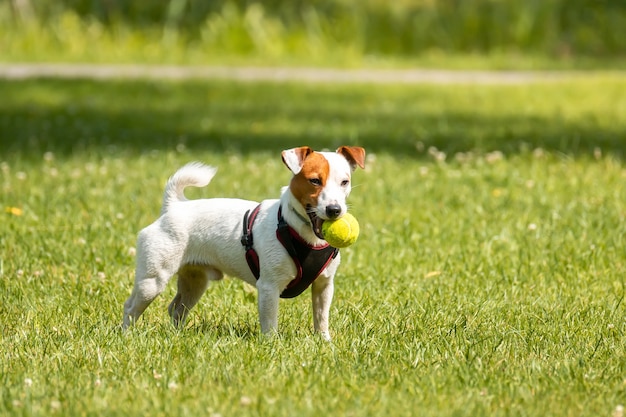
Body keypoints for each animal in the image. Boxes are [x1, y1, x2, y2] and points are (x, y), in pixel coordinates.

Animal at [122, 145, 364, 338]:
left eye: (345, 182)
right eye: (314, 181)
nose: (334, 210)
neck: (300, 232)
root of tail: (174, 206)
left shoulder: (324, 285)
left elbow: (321, 317)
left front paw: (324, 342)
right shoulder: (268, 287)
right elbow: (270, 324)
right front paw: (272, 346)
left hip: (195, 282)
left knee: (176, 309)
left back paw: (177, 335)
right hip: (152, 281)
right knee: (131, 307)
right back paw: (127, 336)